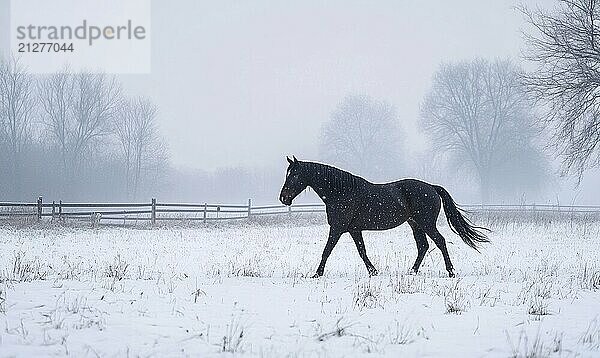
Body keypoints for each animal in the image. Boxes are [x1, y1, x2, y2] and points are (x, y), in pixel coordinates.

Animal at [278, 158, 490, 278]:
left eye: (294, 174)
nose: (283, 198)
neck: (341, 191)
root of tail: (431, 187)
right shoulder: (354, 230)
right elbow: (362, 251)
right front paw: (373, 272)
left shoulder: (337, 228)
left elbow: (326, 251)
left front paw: (317, 274)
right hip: (415, 224)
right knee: (423, 246)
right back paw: (411, 272)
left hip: (426, 223)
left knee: (440, 241)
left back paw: (450, 272)